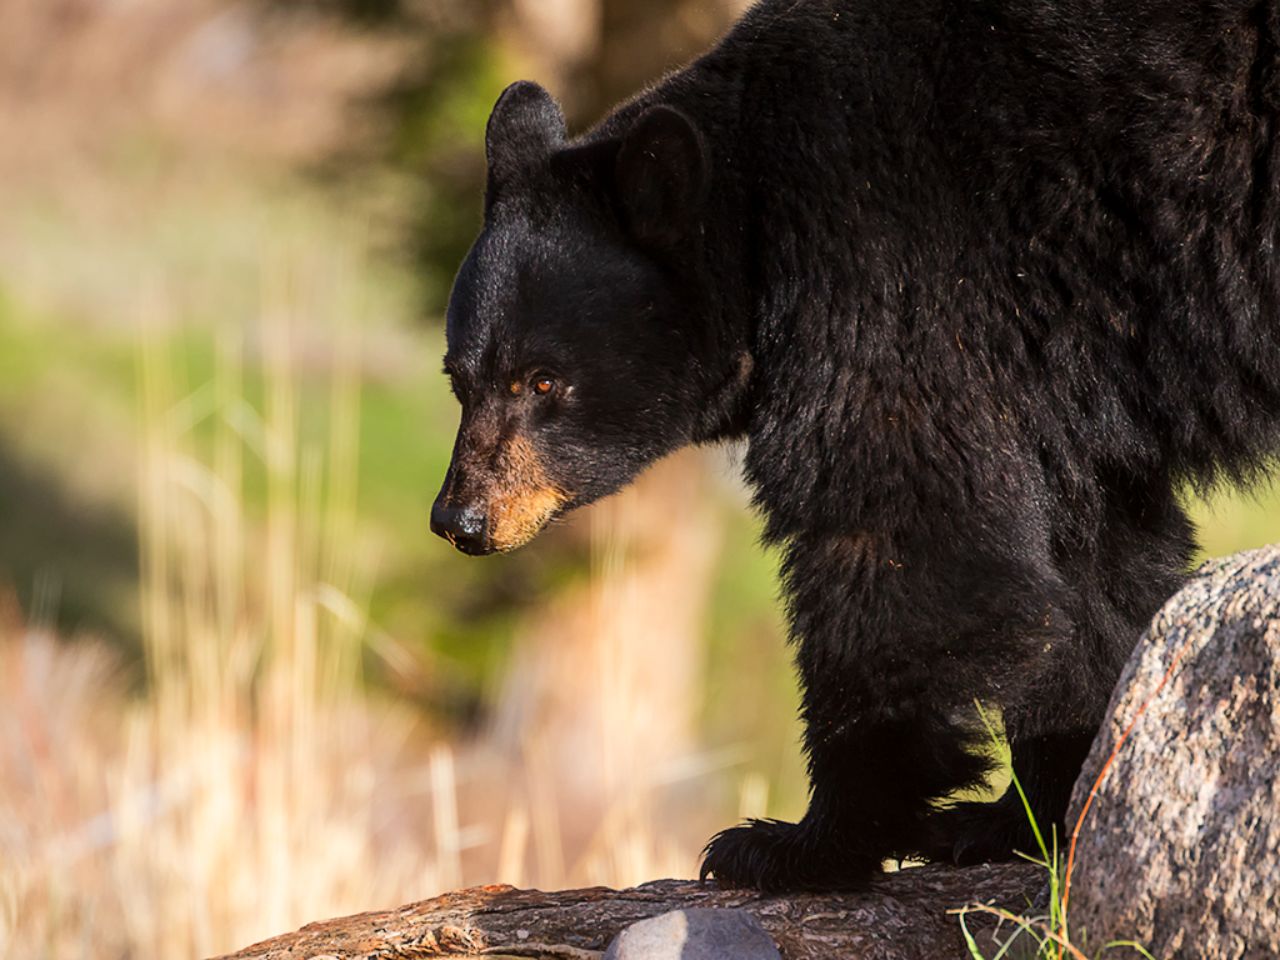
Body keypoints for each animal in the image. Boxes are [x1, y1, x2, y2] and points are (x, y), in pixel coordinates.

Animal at [429, 0, 1280, 892]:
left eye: (542, 381)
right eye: (460, 376)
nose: (461, 519)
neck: (755, 208)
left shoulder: (894, 272)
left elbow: (904, 542)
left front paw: (797, 843)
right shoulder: (1049, 366)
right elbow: (1094, 561)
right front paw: (1023, 818)